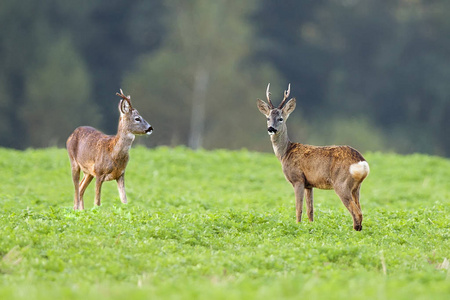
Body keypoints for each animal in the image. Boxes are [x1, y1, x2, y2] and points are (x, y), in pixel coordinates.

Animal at [256, 83, 370, 231]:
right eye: (268, 118)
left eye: (280, 118)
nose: (271, 128)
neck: (285, 152)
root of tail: (361, 162)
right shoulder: (309, 184)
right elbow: (310, 210)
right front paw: (311, 227)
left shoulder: (297, 179)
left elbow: (298, 208)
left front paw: (297, 225)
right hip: (357, 187)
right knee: (360, 210)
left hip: (342, 183)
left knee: (357, 212)